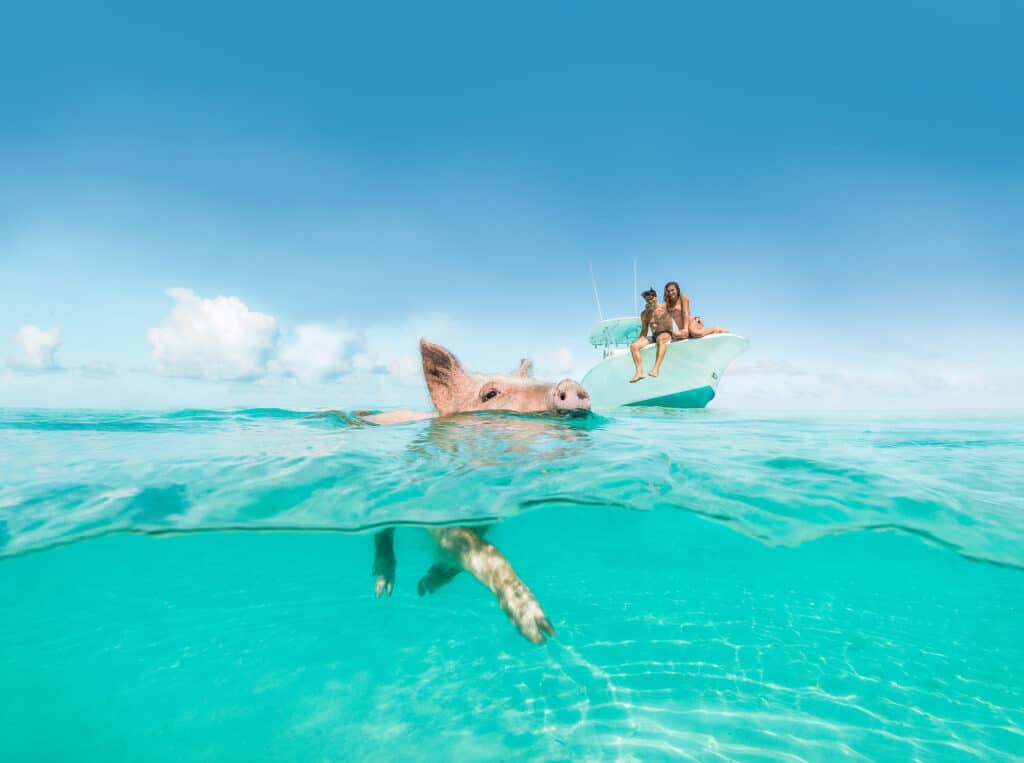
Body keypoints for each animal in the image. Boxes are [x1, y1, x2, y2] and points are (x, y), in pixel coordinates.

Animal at [368, 339, 590, 644]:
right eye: (490, 394)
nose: (569, 384)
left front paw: (426, 586)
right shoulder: (438, 510)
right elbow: (486, 552)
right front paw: (541, 632)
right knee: (384, 531)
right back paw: (383, 589)